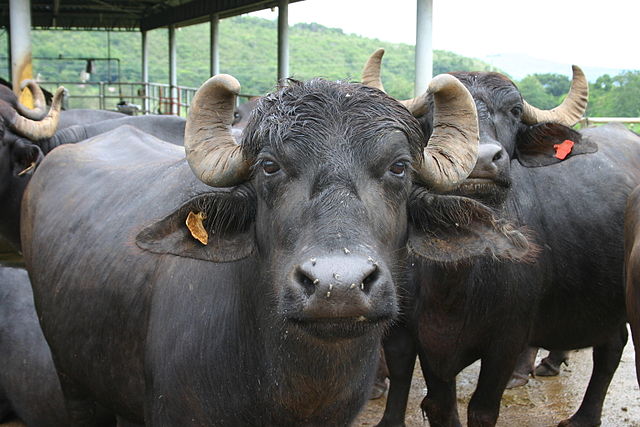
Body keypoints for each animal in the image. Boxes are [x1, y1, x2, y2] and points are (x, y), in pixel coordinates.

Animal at [364, 49, 640, 427]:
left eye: (514, 111)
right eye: (436, 113)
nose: (482, 160)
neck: (457, 277)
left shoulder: (507, 341)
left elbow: (482, 410)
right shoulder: (422, 340)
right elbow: (438, 405)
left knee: (611, 348)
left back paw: (579, 414)